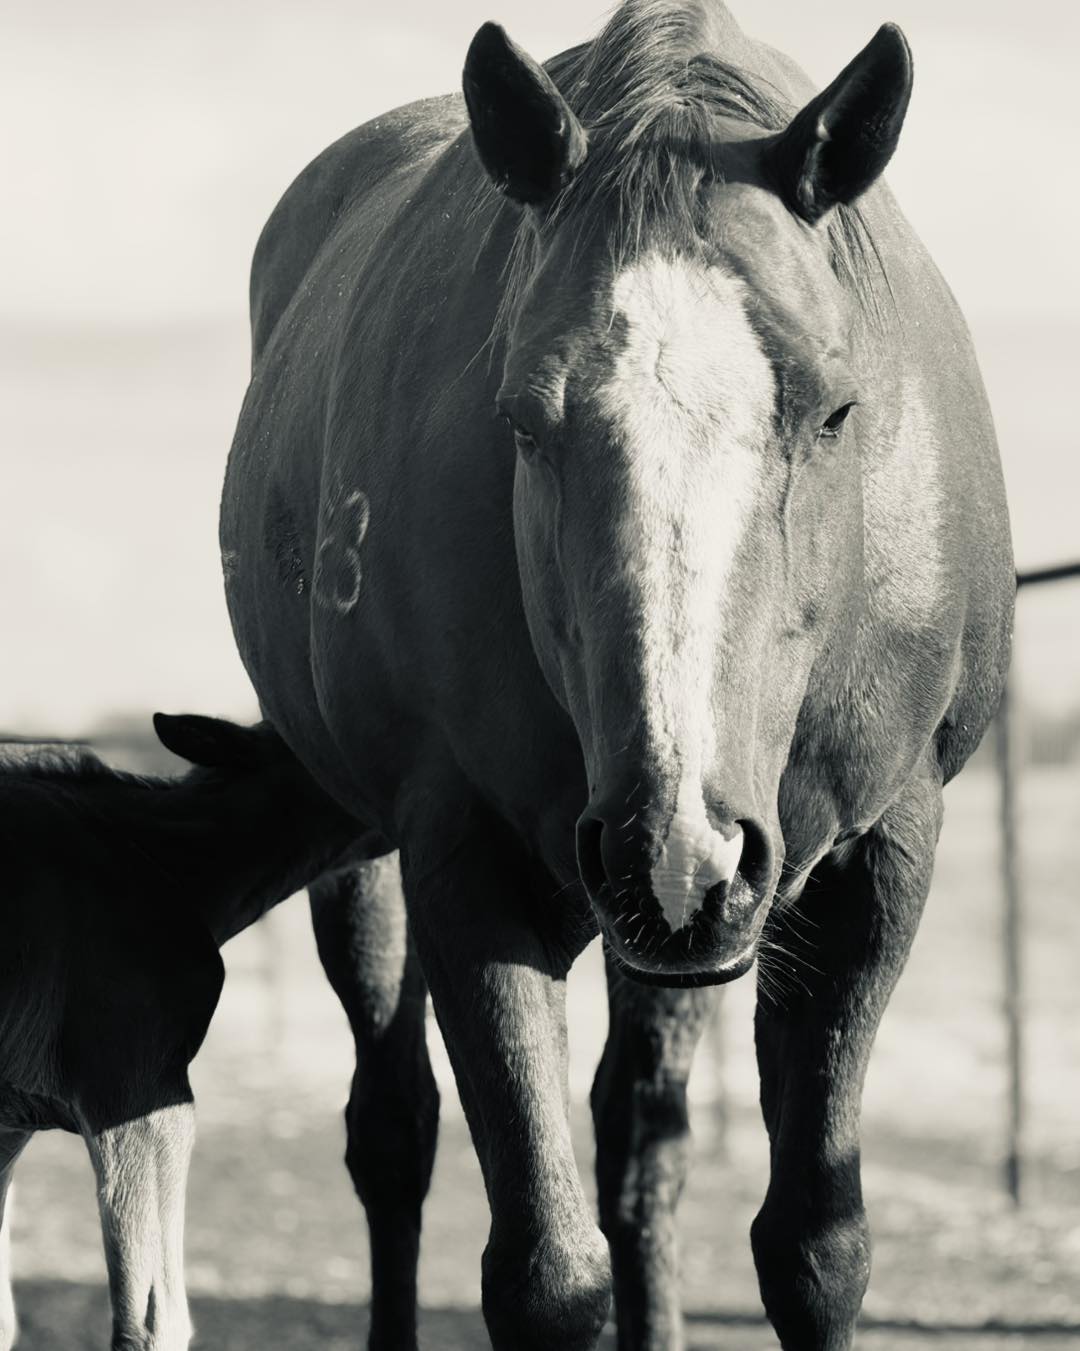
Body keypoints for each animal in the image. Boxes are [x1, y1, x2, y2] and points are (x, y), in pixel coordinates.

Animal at [220, 2, 1014, 1347]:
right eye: (525, 420)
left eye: (834, 409)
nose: (677, 845)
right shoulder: (465, 858)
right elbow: (547, 1272)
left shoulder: (872, 859)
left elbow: (815, 1248)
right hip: (388, 850)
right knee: (392, 1128)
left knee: (640, 1137)